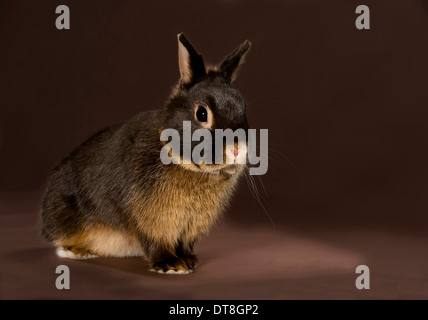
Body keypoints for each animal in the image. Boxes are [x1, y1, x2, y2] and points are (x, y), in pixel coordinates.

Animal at [40, 33, 251, 276]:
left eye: (243, 110)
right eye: (201, 113)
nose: (236, 149)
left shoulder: (190, 227)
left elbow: (184, 244)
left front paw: (189, 261)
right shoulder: (152, 220)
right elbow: (156, 242)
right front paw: (171, 265)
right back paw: (77, 251)